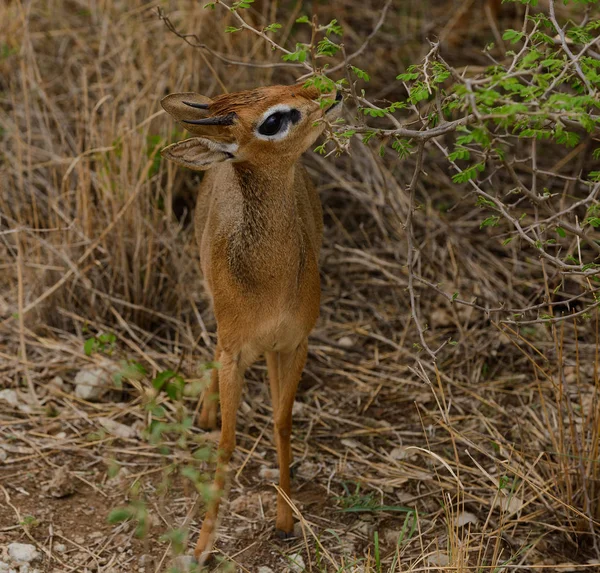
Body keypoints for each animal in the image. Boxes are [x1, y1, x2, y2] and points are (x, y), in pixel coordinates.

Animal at [161, 81, 342, 564]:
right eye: (273, 120)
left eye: (286, 85)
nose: (332, 94)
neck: (268, 286)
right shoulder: (235, 351)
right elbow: (226, 443)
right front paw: (202, 546)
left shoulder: (295, 344)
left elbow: (282, 423)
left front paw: (284, 521)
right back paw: (205, 412)